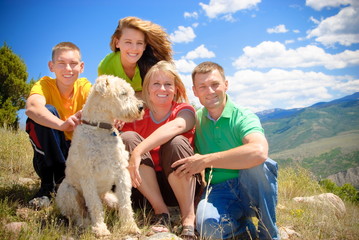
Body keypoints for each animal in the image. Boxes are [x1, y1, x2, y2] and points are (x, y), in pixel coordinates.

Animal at [55, 75, 143, 236]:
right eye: (123, 93)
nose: (141, 107)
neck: (100, 128)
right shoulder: (88, 177)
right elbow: (95, 206)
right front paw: (101, 229)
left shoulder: (121, 172)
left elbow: (126, 203)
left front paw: (130, 226)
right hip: (68, 192)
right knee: (77, 214)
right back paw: (85, 224)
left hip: (110, 198)